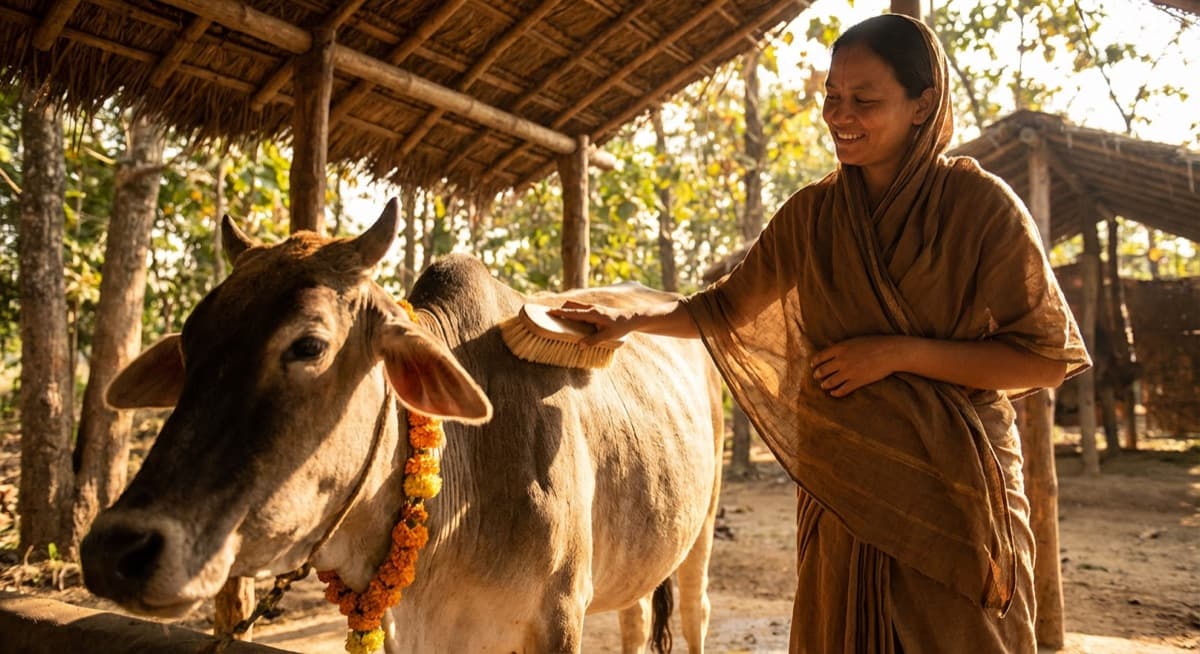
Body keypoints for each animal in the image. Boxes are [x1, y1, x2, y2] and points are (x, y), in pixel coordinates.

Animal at [81, 199, 724, 653]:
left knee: (696, 613)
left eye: (309, 345)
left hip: (701, 530)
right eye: (189, 346)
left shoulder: (561, 614)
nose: (116, 548)